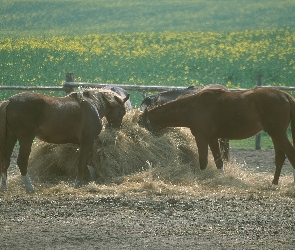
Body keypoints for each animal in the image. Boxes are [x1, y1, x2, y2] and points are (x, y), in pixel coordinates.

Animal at [0, 88, 130, 191]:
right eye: (122, 111)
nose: (117, 127)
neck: (93, 105)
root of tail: (10, 101)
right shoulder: (87, 141)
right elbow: (82, 163)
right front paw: (78, 183)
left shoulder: (86, 143)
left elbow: (89, 161)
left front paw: (92, 179)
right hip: (25, 138)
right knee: (21, 161)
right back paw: (29, 187)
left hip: (11, 137)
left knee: (5, 160)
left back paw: (4, 186)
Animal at [142, 88, 295, 186]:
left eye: (141, 122)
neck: (193, 106)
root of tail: (286, 96)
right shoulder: (212, 139)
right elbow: (218, 161)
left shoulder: (201, 137)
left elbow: (203, 161)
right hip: (275, 134)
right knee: (280, 157)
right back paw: (274, 182)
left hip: (277, 133)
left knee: (289, 153)